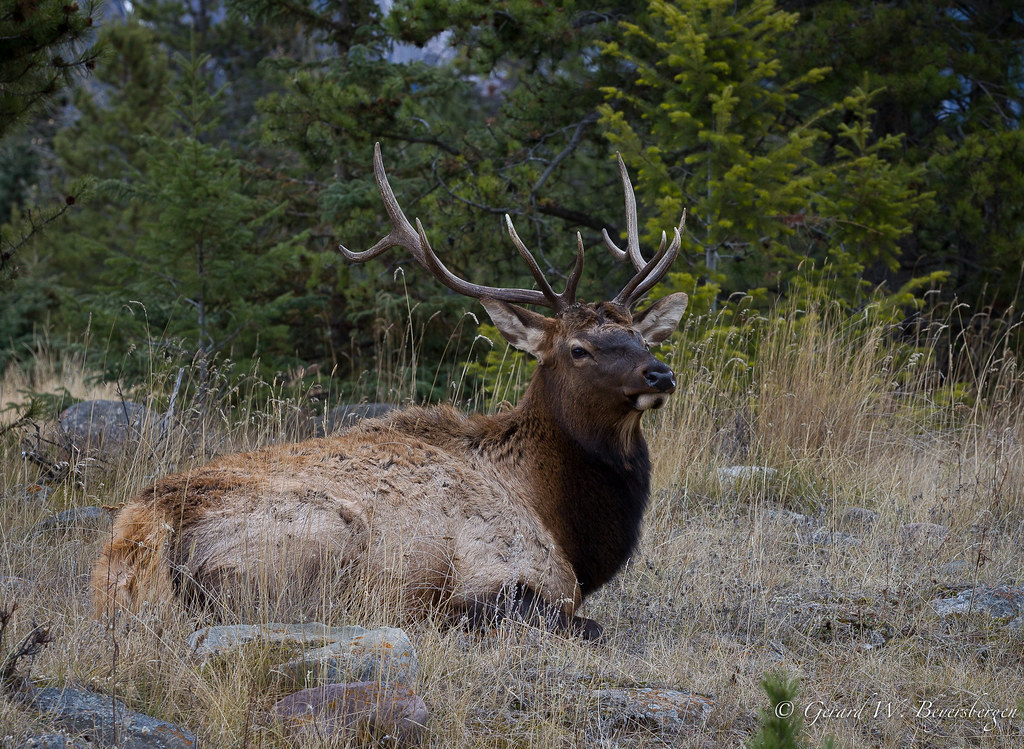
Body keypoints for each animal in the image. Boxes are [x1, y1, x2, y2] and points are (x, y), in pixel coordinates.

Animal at [92, 143, 688, 643]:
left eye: (640, 336)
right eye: (578, 349)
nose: (659, 375)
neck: (567, 526)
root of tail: (144, 527)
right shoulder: (510, 568)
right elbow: (584, 623)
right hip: (319, 542)